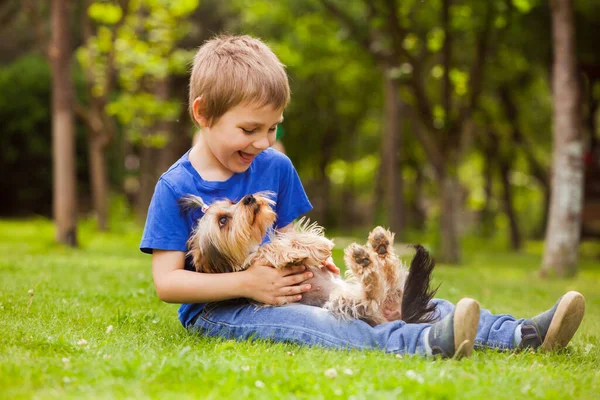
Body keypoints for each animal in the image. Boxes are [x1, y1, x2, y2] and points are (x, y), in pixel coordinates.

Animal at [180, 192, 438, 326]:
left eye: (232, 203)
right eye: (223, 221)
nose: (249, 198)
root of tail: (394, 316)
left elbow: (296, 237)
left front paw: (316, 247)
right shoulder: (253, 266)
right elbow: (269, 250)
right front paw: (290, 254)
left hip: (386, 291)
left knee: (390, 278)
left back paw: (379, 247)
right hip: (346, 302)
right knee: (370, 294)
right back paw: (365, 261)